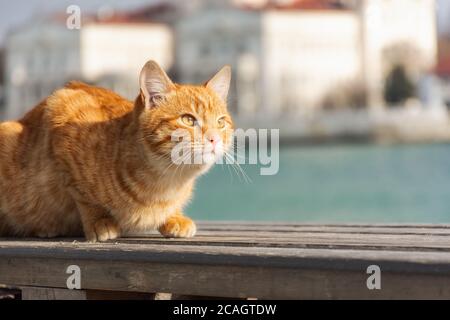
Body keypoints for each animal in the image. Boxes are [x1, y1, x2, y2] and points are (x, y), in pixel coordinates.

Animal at [0, 60, 234, 241]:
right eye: (188, 119)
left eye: (221, 122)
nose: (214, 138)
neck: (167, 184)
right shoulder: (62, 106)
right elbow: (83, 196)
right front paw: (100, 220)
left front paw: (173, 217)